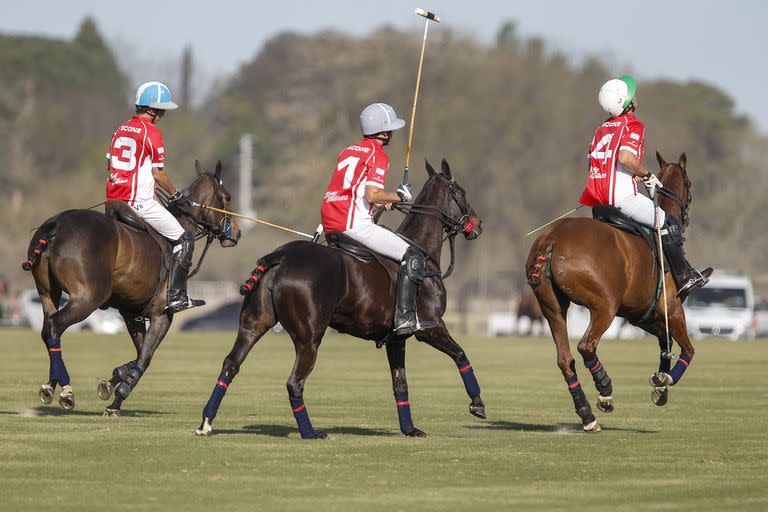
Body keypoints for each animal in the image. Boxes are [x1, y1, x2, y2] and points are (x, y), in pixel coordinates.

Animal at [24, 160, 240, 416]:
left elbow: (139, 354)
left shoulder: (131, 313)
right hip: (87, 297)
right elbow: (146, 357)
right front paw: (118, 397)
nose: (236, 232)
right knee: (55, 326)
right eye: (226, 198)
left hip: (48, 292)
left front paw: (113, 382)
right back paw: (66, 389)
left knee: (47, 328)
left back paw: (50, 385)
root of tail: (55, 225)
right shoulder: (161, 315)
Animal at [196, 161, 486, 440]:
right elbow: (461, 354)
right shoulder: (431, 327)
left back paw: (206, 423)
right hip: (309, 337)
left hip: (253, 325)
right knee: (294, 382)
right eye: (461, 192)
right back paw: (310, 433)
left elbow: (400, 383)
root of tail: (279, 257)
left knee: (230, 365)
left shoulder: (396, 338)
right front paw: (477, 404)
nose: (478, 224)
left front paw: (410, 430)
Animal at [528, 153, 696, 432]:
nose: (686, 219)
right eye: (689, 184)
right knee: (586, 346)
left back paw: (587, 415)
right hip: (604, 306)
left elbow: (666, 343)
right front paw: (665, 382)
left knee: (565, 359)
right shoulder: (672, 309)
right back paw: (604, 389)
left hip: (552, 308)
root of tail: (550, 240)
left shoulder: (640, 315)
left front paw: (660, 381)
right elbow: (688, 350)